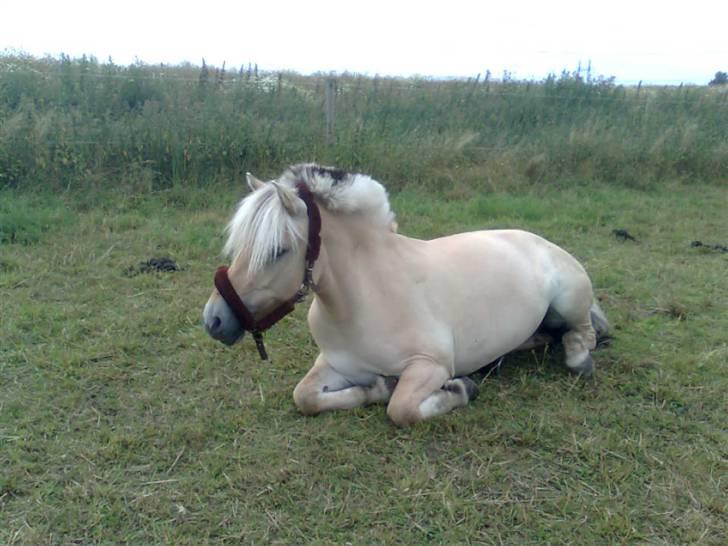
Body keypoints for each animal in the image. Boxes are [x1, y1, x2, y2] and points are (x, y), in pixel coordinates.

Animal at [202, 164, 604, 428]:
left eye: (278, 250)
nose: (214, 320)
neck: (366, 298)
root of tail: (540, 241)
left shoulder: (431, 366)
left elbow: (402, 410)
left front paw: (461, 389)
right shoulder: (335, 364)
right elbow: (305, 398)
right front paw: (377, 387)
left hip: (571, 298)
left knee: (584, 331)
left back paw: (578, 358)